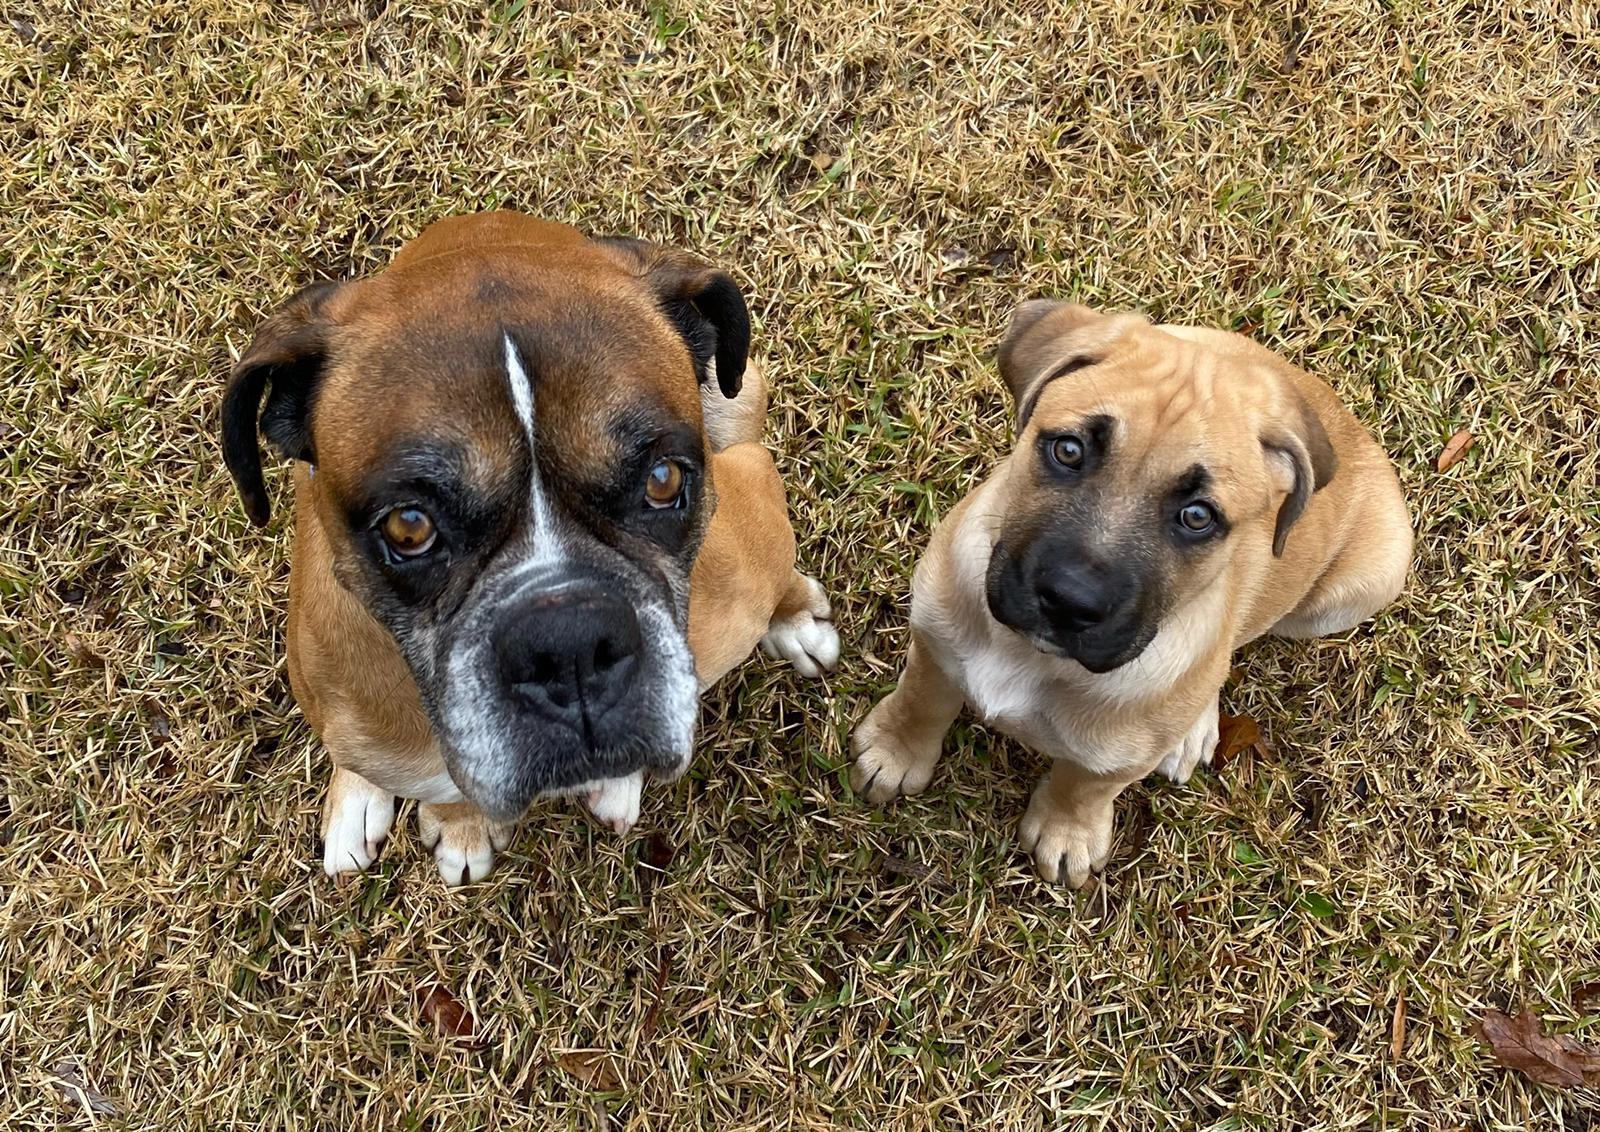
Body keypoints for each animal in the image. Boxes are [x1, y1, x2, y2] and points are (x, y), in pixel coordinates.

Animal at [857, 305, 1408, 888]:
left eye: (1197, 516)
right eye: (1068, 450)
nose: (1069, 601)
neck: (1029, 655)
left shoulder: (1116, 761)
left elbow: (1084, 785)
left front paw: (1067, 831)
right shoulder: (934, 640)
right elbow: (922, 699)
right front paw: (894, 752)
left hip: (1358, 587)